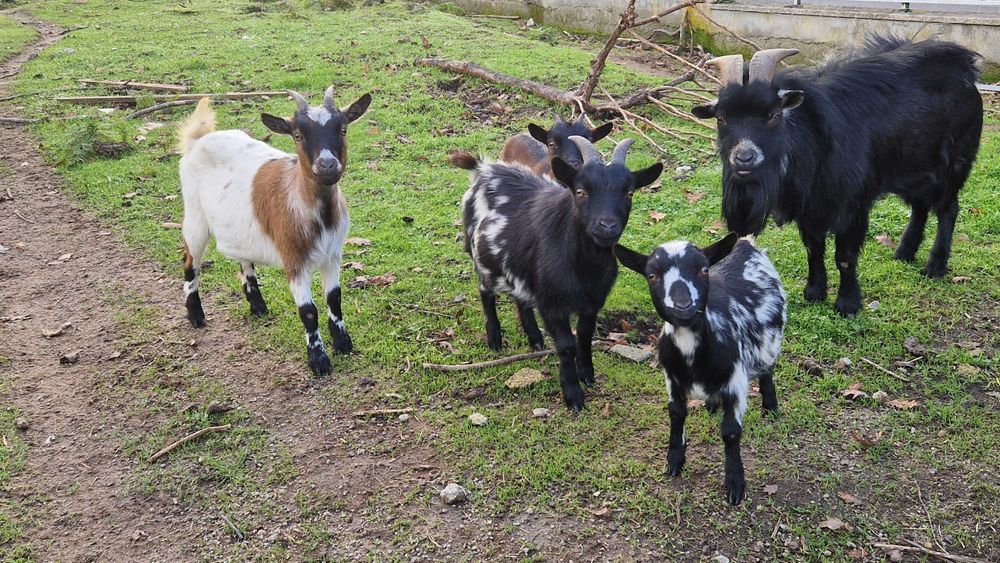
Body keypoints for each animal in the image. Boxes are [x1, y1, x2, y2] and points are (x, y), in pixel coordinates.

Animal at [177, 87, 372, 377]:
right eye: (298, 135)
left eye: (344, 129)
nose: (327, 165)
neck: (318, 214)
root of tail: (199, 139)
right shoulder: (293, 259)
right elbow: (308, 311)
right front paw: (319, 361)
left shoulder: (333, 255)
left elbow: (334, 298)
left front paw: (343, 344)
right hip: (194, 216)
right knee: (191, 262)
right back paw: (196, 316)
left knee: (243, 259)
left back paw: (257, 306)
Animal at [451, 137, 663, 411]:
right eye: (580, 191)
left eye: (629, 192)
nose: (607, 226)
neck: (584, 268)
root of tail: (484, 168)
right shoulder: (551, 304)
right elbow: (566, 346)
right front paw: (573, 394)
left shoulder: (592, 303)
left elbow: (584, 336)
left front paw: (588, 375)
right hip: (480, 255)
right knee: (486, 292)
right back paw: (495, 339)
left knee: (520, 296)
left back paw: (535, 338)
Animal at [615, 233, 786, 504]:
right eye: (651, 275)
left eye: (704, 269)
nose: (683, 305)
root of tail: (744, 242)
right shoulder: (671, 377)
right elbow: (676, 412)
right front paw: (675, 460)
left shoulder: (736, 381)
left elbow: (730, 431)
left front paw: (735, 484)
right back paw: (712, 405)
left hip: (770, 340)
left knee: (767, 367)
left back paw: (770, 406)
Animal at [691, 37, 983, 316]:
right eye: (721, 118)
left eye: (773, 115)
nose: (744, 158)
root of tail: (967, 75)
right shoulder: (810, 208)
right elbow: (813, 248)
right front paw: (814, 292)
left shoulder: (852, 206)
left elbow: (844, 255)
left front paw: (847, 303)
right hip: (913, 169)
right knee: (920, 207)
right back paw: (904, 252)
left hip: (953, 166)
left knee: (948, 210)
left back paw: (935, 266)